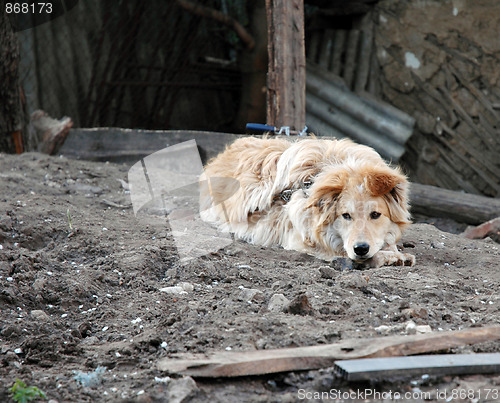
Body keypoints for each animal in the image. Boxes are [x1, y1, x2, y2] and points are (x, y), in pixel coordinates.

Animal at [199, 137, 414, 268]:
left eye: (375, 215)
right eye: (345, 216)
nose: (361, 248)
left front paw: (395, 253)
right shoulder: (302, 240)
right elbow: (342, 251)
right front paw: (386, 257)